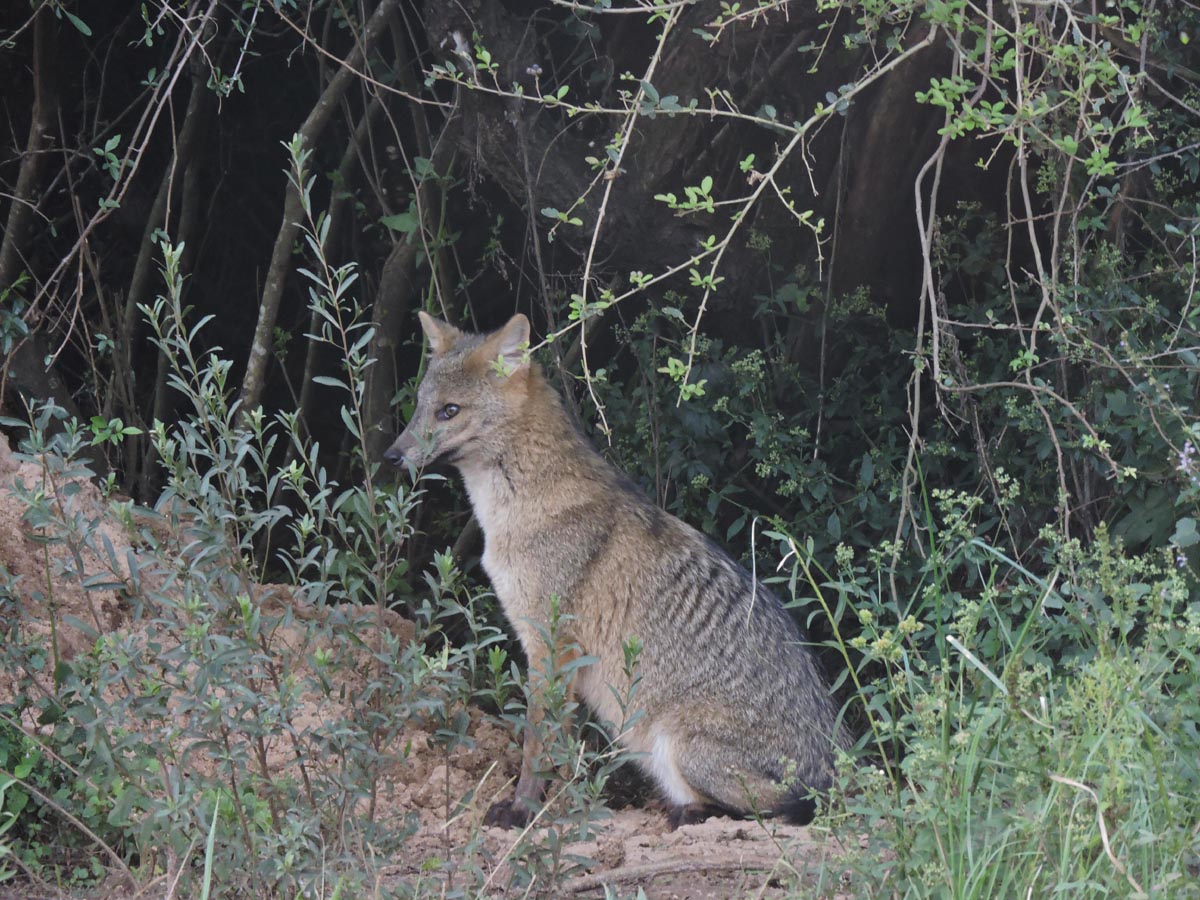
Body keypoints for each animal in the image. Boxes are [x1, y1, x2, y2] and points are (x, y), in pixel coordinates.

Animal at [384, 311, 844, 828]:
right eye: (421, 407)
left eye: (450, 411)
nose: (391, 457)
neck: (518, 508)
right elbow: (556, 745)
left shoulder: (551, 646)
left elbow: (536, 745)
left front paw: (523, 810)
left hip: (676, 744)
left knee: (775, 810)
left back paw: (692, 814)